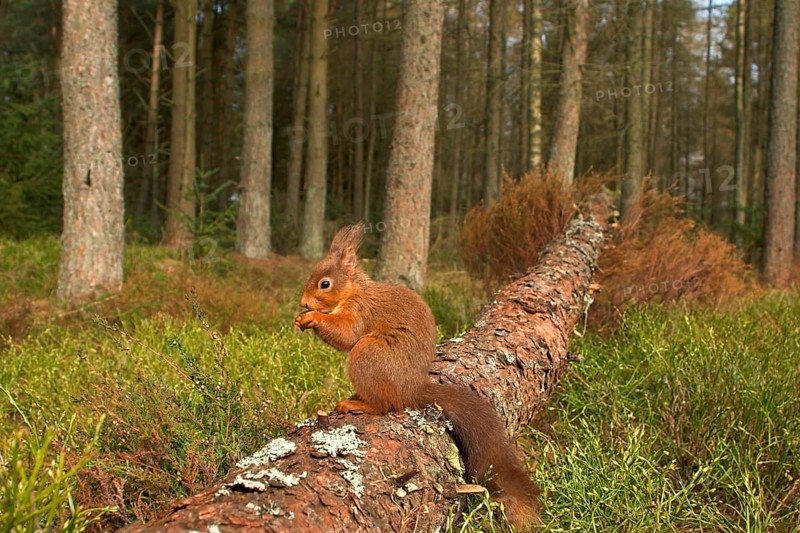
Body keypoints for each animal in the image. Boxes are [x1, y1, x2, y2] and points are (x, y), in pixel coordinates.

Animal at [295, 223, 540, 530]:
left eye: (324, 284)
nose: (303, 303)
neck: (354, 291)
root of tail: (409, 390)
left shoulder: (360, 311)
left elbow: (346, 334)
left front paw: (312, 318)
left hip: (369, 354)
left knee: (385, 405)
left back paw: (357, 404)